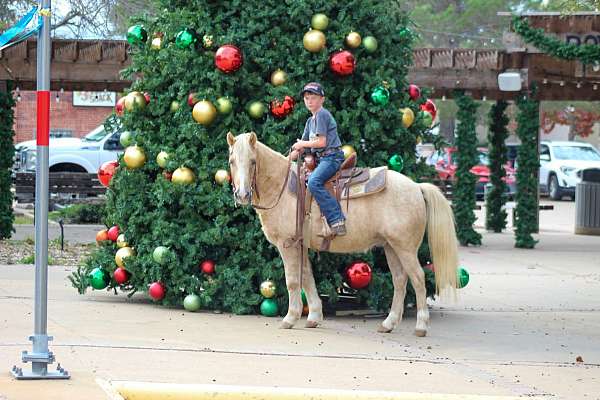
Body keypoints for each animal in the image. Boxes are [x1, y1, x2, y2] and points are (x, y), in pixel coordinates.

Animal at [227, 133, 458, 336]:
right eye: (231, 161)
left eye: (253, 161)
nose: (242, 195)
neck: (281, 187)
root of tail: (417, 187)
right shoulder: (301, 245)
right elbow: (307, 277)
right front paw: (314, 317)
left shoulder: (288, 245)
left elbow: (292, 280)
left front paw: (290, 318)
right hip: (391, 247)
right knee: (400, 280)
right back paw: (388, 323)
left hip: (406, 248)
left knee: (418, 279)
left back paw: (421, 326)